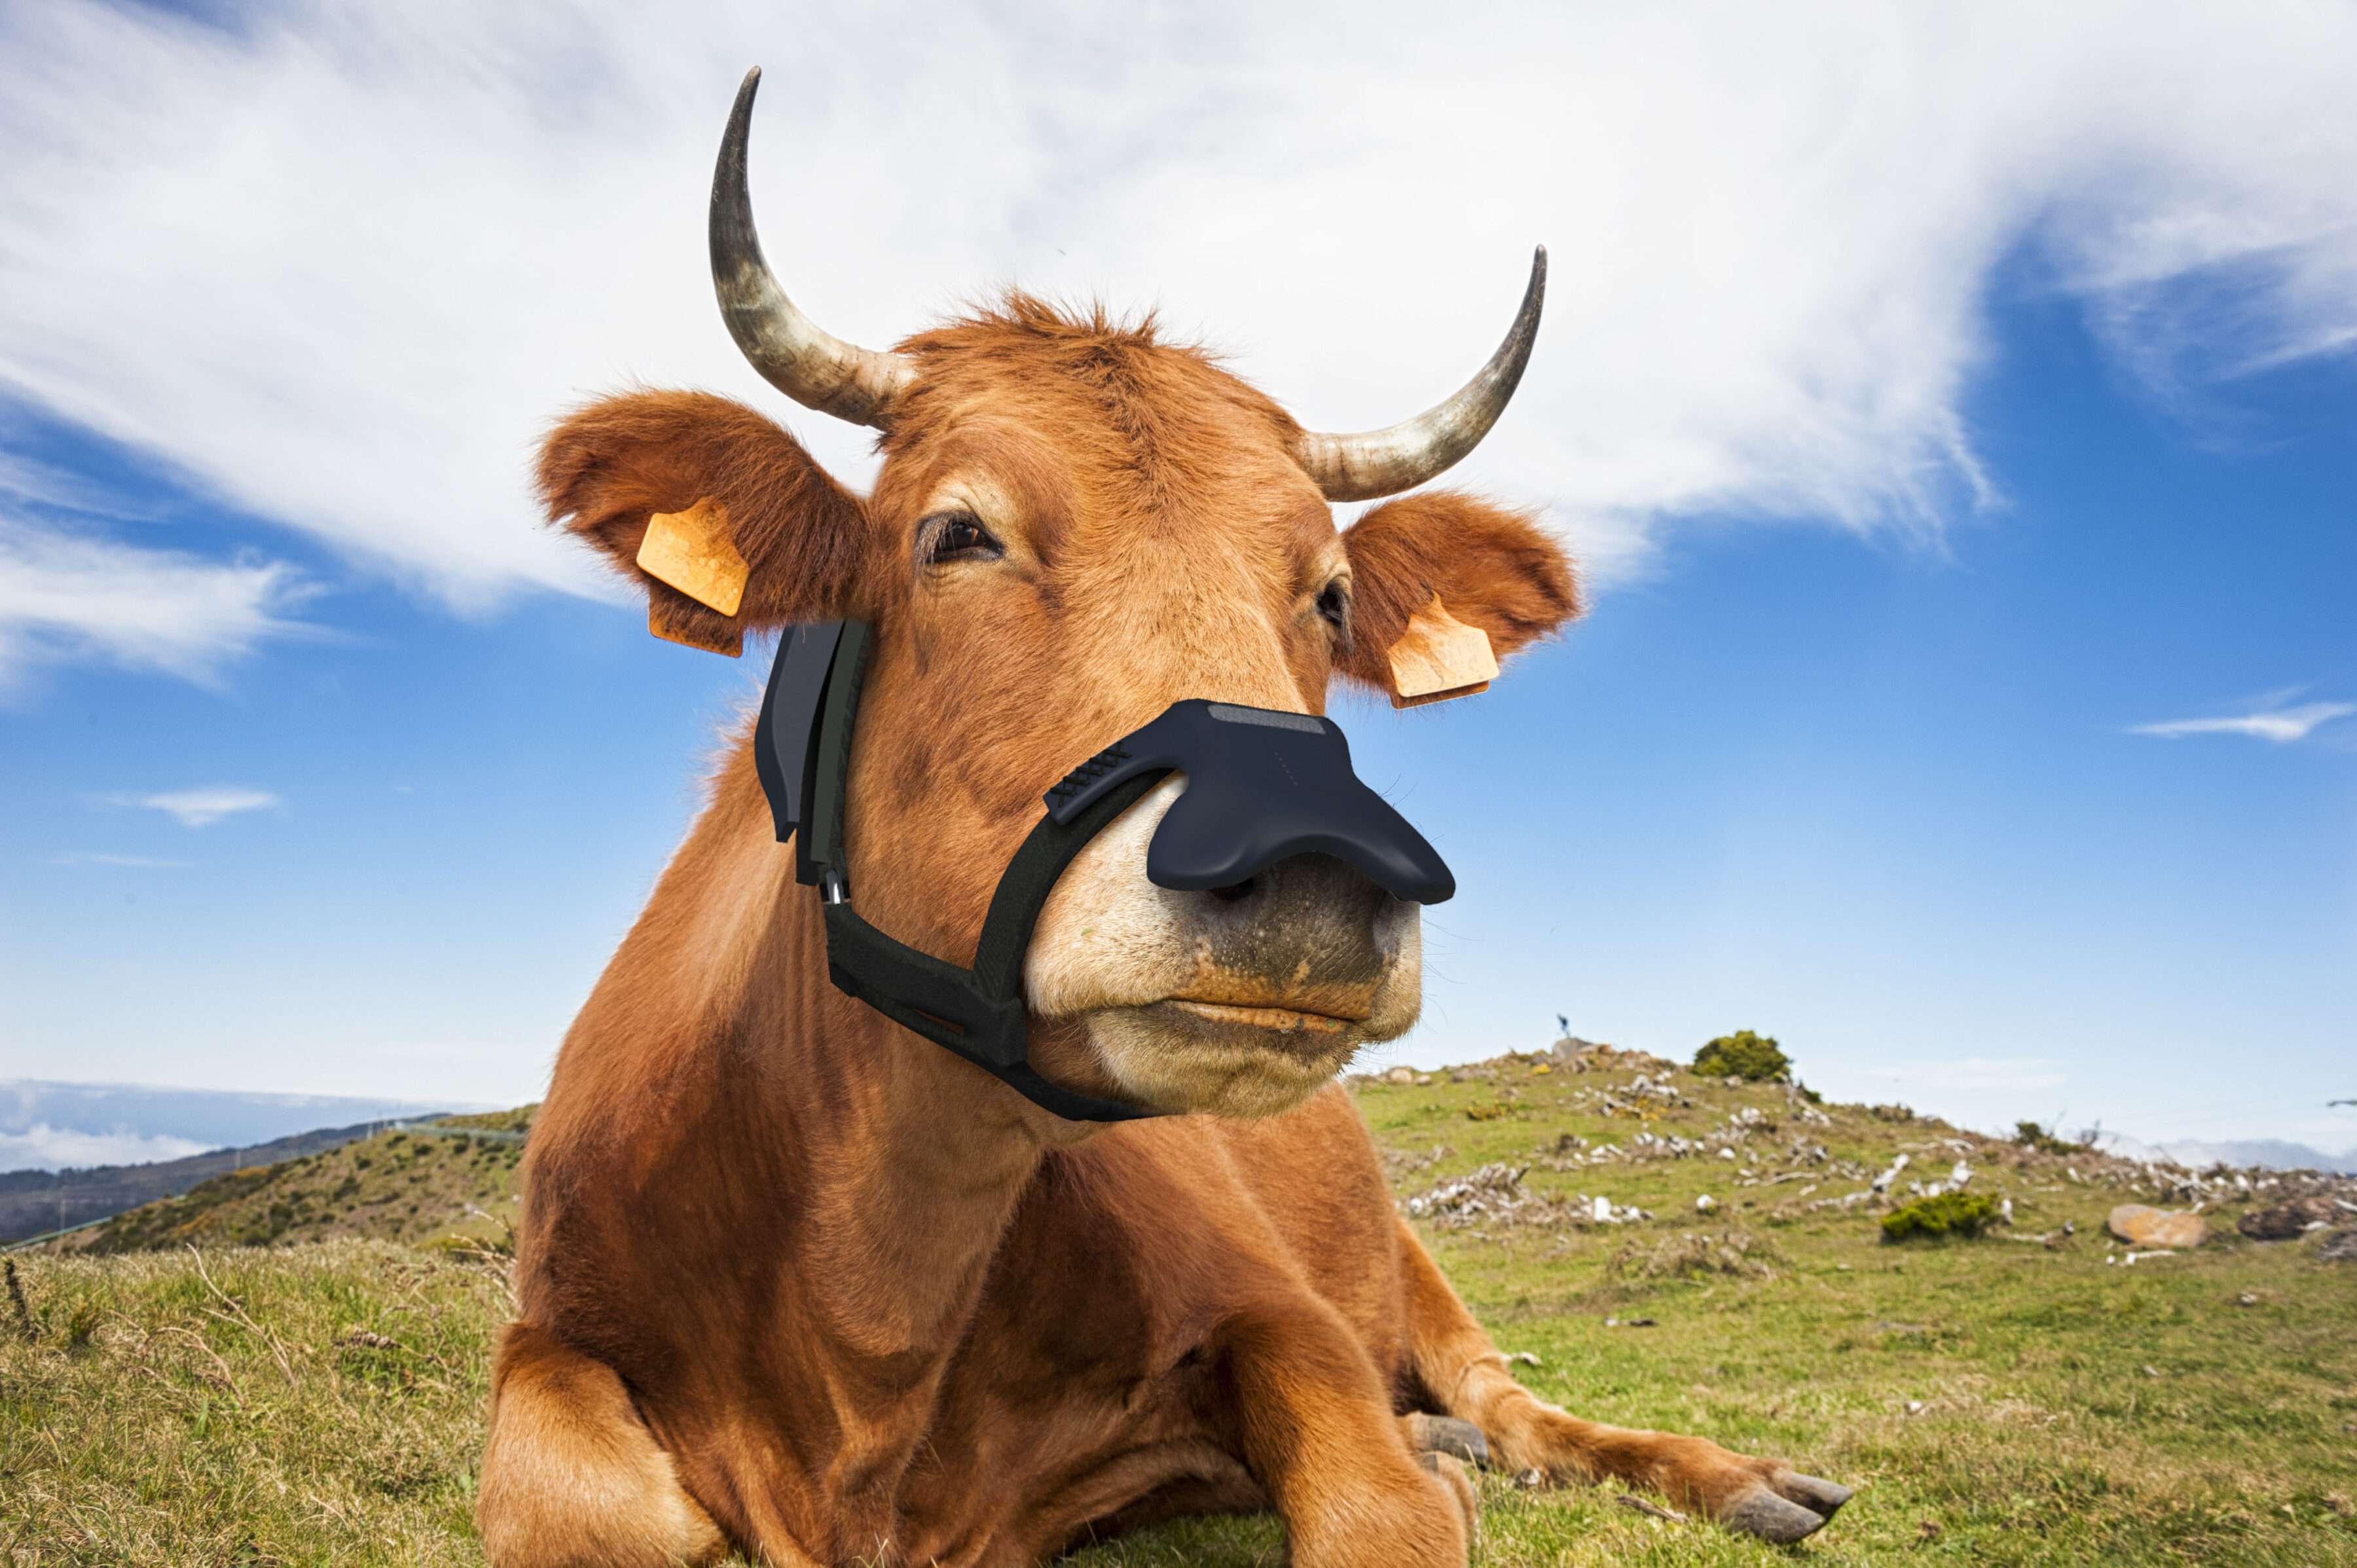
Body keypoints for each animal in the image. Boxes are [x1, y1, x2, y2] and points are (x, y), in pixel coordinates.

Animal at [473, 70, 1838, 1565]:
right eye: (956, 534)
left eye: (1331, 594)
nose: (1311, 874)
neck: (870, 1327)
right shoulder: (549, 1335)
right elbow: (573, 1502)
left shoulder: (1282, 1311)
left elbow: (1379, 1509)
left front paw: (1433, 1476)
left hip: (1415, 1264)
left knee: (1521, 1406)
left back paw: (1719, 1473)